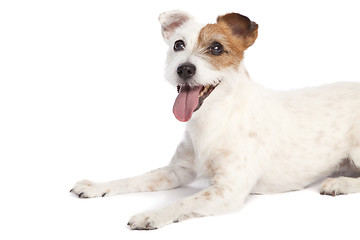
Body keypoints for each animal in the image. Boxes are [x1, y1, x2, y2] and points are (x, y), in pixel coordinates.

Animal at [70, 10, 360, 230]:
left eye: (217, 48)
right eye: (178, 44)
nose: (184, 69)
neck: (213, 119)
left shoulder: (227, 190)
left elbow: (184, 202)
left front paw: (152, 214)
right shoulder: (178, 170)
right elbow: (136, 178)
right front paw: (97, 186)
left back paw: (340, 183)